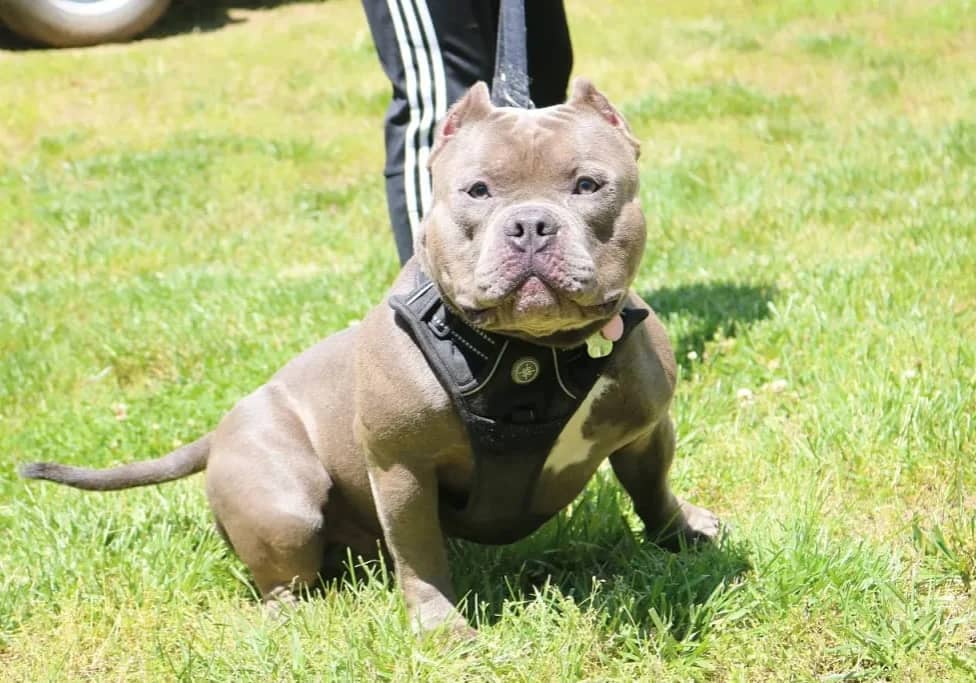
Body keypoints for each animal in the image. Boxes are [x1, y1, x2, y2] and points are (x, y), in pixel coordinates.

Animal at [21, 80, 716, 640]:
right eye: (477, 191)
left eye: (588, 185)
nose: (530, 226)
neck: (529, 355)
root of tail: (218, 431)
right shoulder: (401, 466)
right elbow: (421, 555)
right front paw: (442, 629)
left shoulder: (646, 430)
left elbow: (653, 488)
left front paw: (681, 533)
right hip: (285, 503)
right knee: (286, 576)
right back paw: (291, 615)